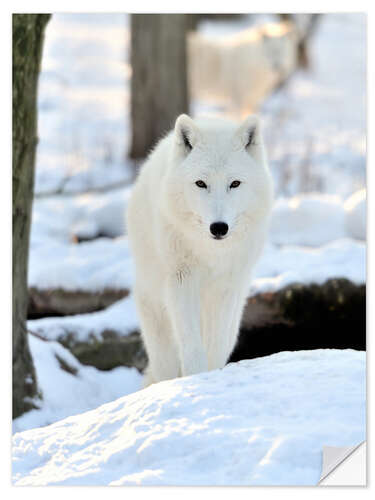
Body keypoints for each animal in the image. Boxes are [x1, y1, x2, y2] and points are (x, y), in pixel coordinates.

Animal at [126, 114, 274, 386]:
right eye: (201, 183)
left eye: (234, 183)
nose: (219, 227)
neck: (210, 253)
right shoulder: (181, 282)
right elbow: (193, 348)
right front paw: (196, 380)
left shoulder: (225, 288)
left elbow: (214, 347)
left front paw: (212, 379)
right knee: (165, 367)